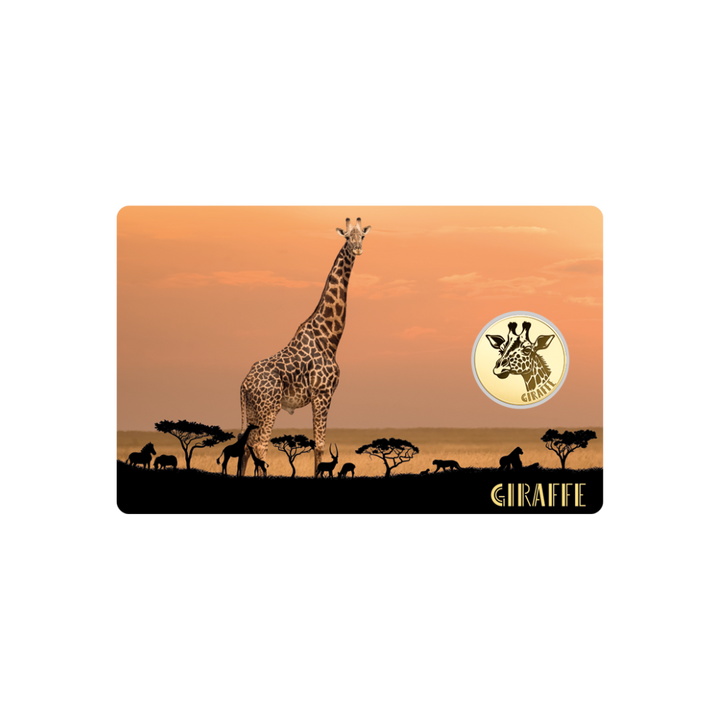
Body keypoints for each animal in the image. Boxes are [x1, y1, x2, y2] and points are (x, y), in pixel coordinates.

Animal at [238, 218, 371, 476]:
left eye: (363, 236)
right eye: (347, 237)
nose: (358, 249)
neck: (329, 338)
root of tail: (245, 384)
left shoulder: (320, 396)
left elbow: (317, 445)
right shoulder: (322, 394)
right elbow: (319, 445)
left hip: (252, 409)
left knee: (246, 447)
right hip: (269, 407)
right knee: (260, 446)